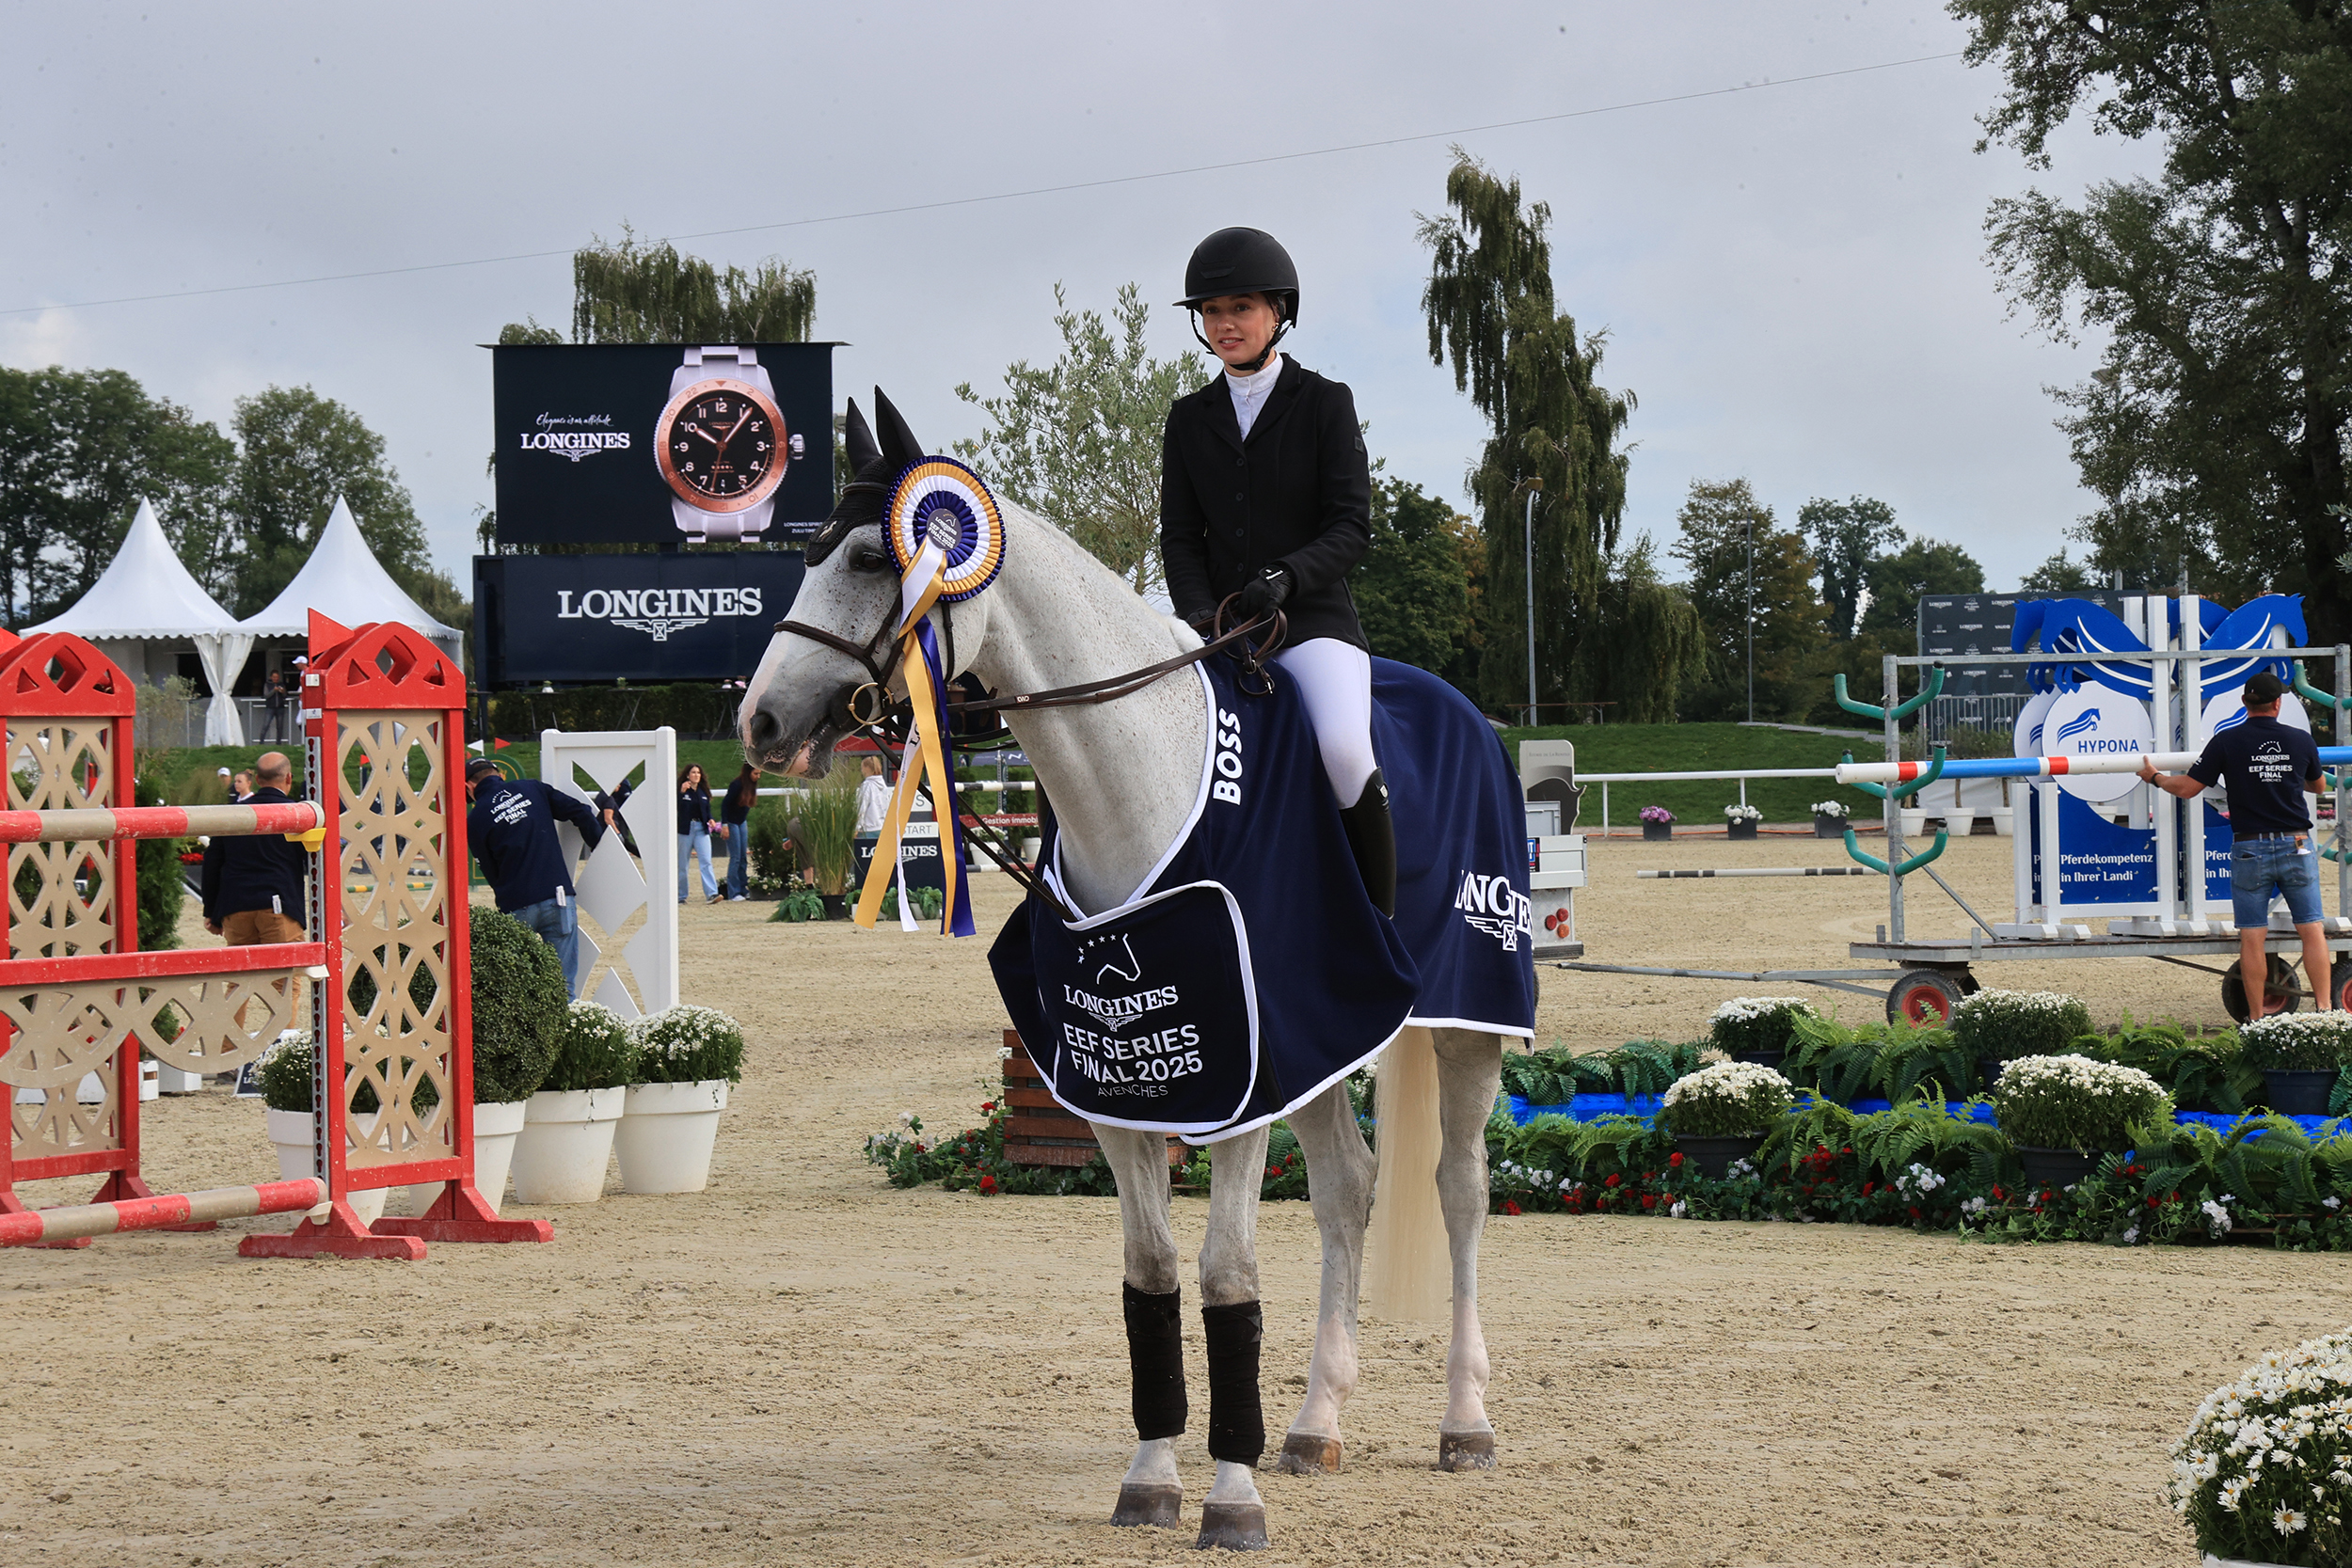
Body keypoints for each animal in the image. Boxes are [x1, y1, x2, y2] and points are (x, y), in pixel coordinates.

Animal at [739, 389, 1516, 1551]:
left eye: (877, 557)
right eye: (809, 555)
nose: (760, 721)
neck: (1135, 780)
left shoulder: (1240, 1075)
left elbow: (1227, 1271)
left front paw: (1230, 1497)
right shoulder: (1125, 1079)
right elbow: (1149, 1273)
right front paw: (1154, 1478)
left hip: (1463, 1026)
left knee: (1459, 1189)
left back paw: (1464, 1422)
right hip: (1323, 1037)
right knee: (1348, 1188)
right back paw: (1314, 1423)